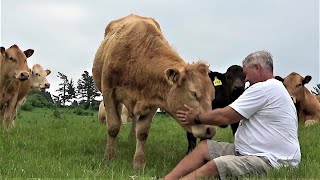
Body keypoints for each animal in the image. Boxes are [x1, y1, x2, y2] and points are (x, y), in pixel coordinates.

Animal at [92, 13, 216, 169]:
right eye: (193, 93)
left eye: (213, 97)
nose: (211, 130)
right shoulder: (109, 92)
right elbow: (113, 126)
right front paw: (109, 157)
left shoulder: (152, 99)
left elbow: (142, 132)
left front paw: (139, 163)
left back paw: (131, 138)